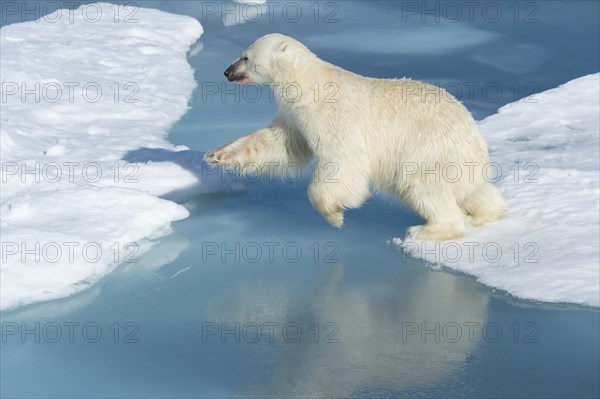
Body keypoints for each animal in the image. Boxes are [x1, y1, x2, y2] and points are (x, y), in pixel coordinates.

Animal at [206, 34, 506, 241]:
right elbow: (280, 144)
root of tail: (475, 135)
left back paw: (426, 230)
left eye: (245, 57)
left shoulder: (332, 115)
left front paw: (334, 215)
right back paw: (486, 213)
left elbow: (343, 160)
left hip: (432, 149)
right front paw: (217, 155)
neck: (307, 84)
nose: (227, 72)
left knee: (424, 186)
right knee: (473, 191)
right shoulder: (294, 117)